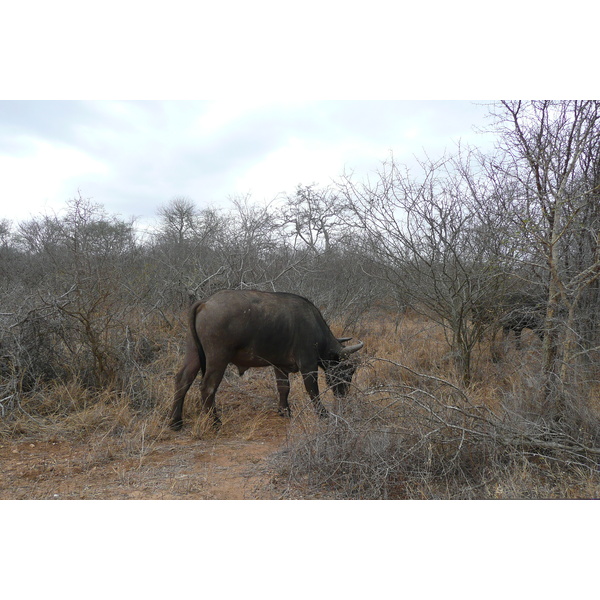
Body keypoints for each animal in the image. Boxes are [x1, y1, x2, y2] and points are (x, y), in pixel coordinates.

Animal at [170, 288, 366, 428]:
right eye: (347, 370)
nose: (343, 395)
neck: (315, 327)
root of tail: (205, 302)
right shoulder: (308, 365)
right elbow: (312, 390)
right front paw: (323, 414)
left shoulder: (279, 365)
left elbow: (283, 388)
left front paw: (284, 411)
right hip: (218, 358)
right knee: (207, 387)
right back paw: (215, 422)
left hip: (193, 353)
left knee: (183, 379)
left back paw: (175, 421)